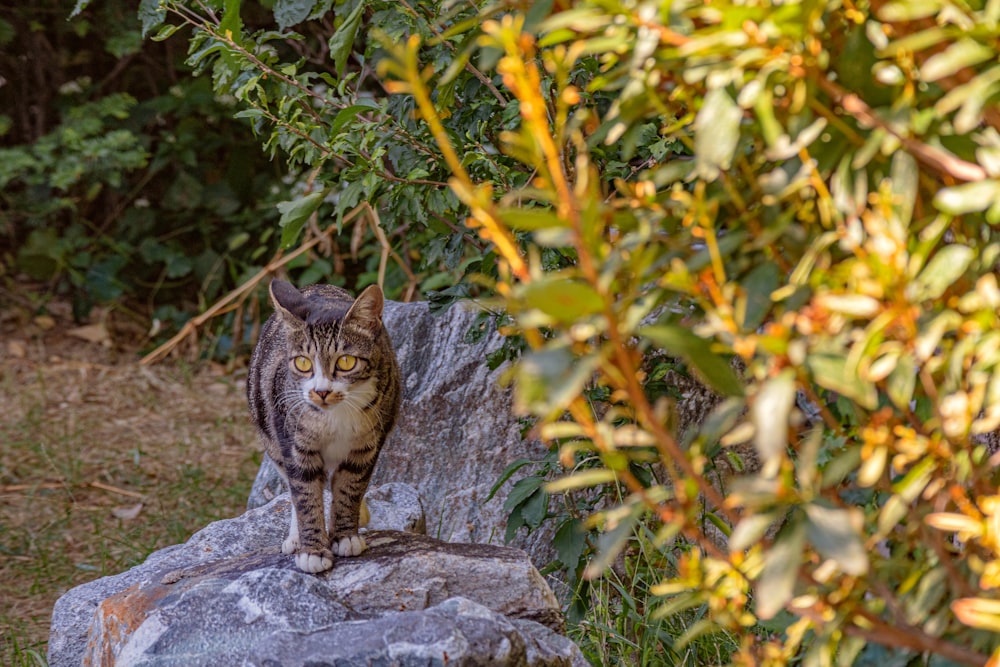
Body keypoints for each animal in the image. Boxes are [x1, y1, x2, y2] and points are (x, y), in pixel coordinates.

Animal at [248, 280, 400, 576]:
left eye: (346, 362)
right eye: (302, 362)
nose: (321, 392)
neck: (336, 417)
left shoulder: (367, 444)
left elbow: (350, 488)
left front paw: (345, 537)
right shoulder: (294, 440)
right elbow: (305, 495)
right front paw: (313, 551)